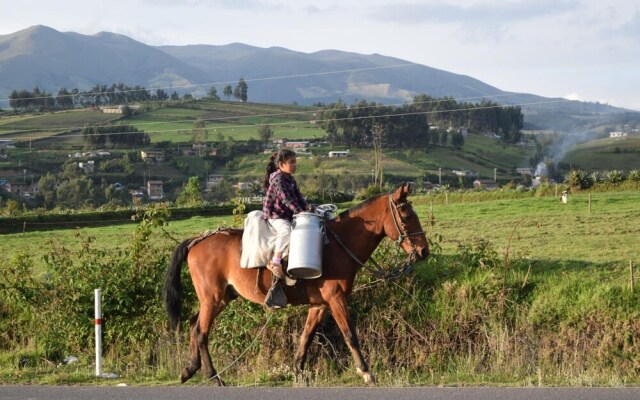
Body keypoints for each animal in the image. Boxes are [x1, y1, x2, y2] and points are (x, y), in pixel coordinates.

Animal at [164, 184, 430, 384]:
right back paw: (214, 377)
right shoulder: (336, 299)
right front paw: (366, 372)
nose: (424, 251)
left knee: (193, 324)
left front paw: (297, 371)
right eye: (407, 215)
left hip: (220, 298)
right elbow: (349, 335)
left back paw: (189, 369)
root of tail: (197, 240)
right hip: (212, 298)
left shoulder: (320, 305)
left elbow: (306, 337)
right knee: (201, 332)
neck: (338, 246)